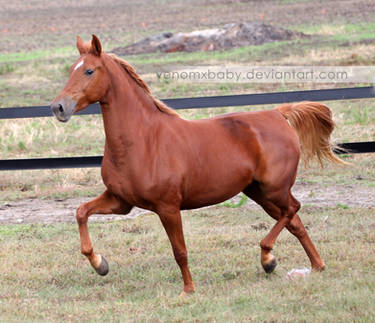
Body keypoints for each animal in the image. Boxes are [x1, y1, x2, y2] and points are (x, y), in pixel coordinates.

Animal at [51, 34, 346, 296]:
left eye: (89, 71)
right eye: (72, 69)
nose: (58, 107)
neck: (143, 140)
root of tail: (277, 113)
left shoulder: (168, 207)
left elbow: (179, 251)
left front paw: (188, 290)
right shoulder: (120, 201)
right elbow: (81, 212)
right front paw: (101, 264)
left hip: (274, 189)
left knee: (293, 209)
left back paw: (268, 259)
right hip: (259, 192)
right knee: (295, 222)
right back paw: (314, 266)